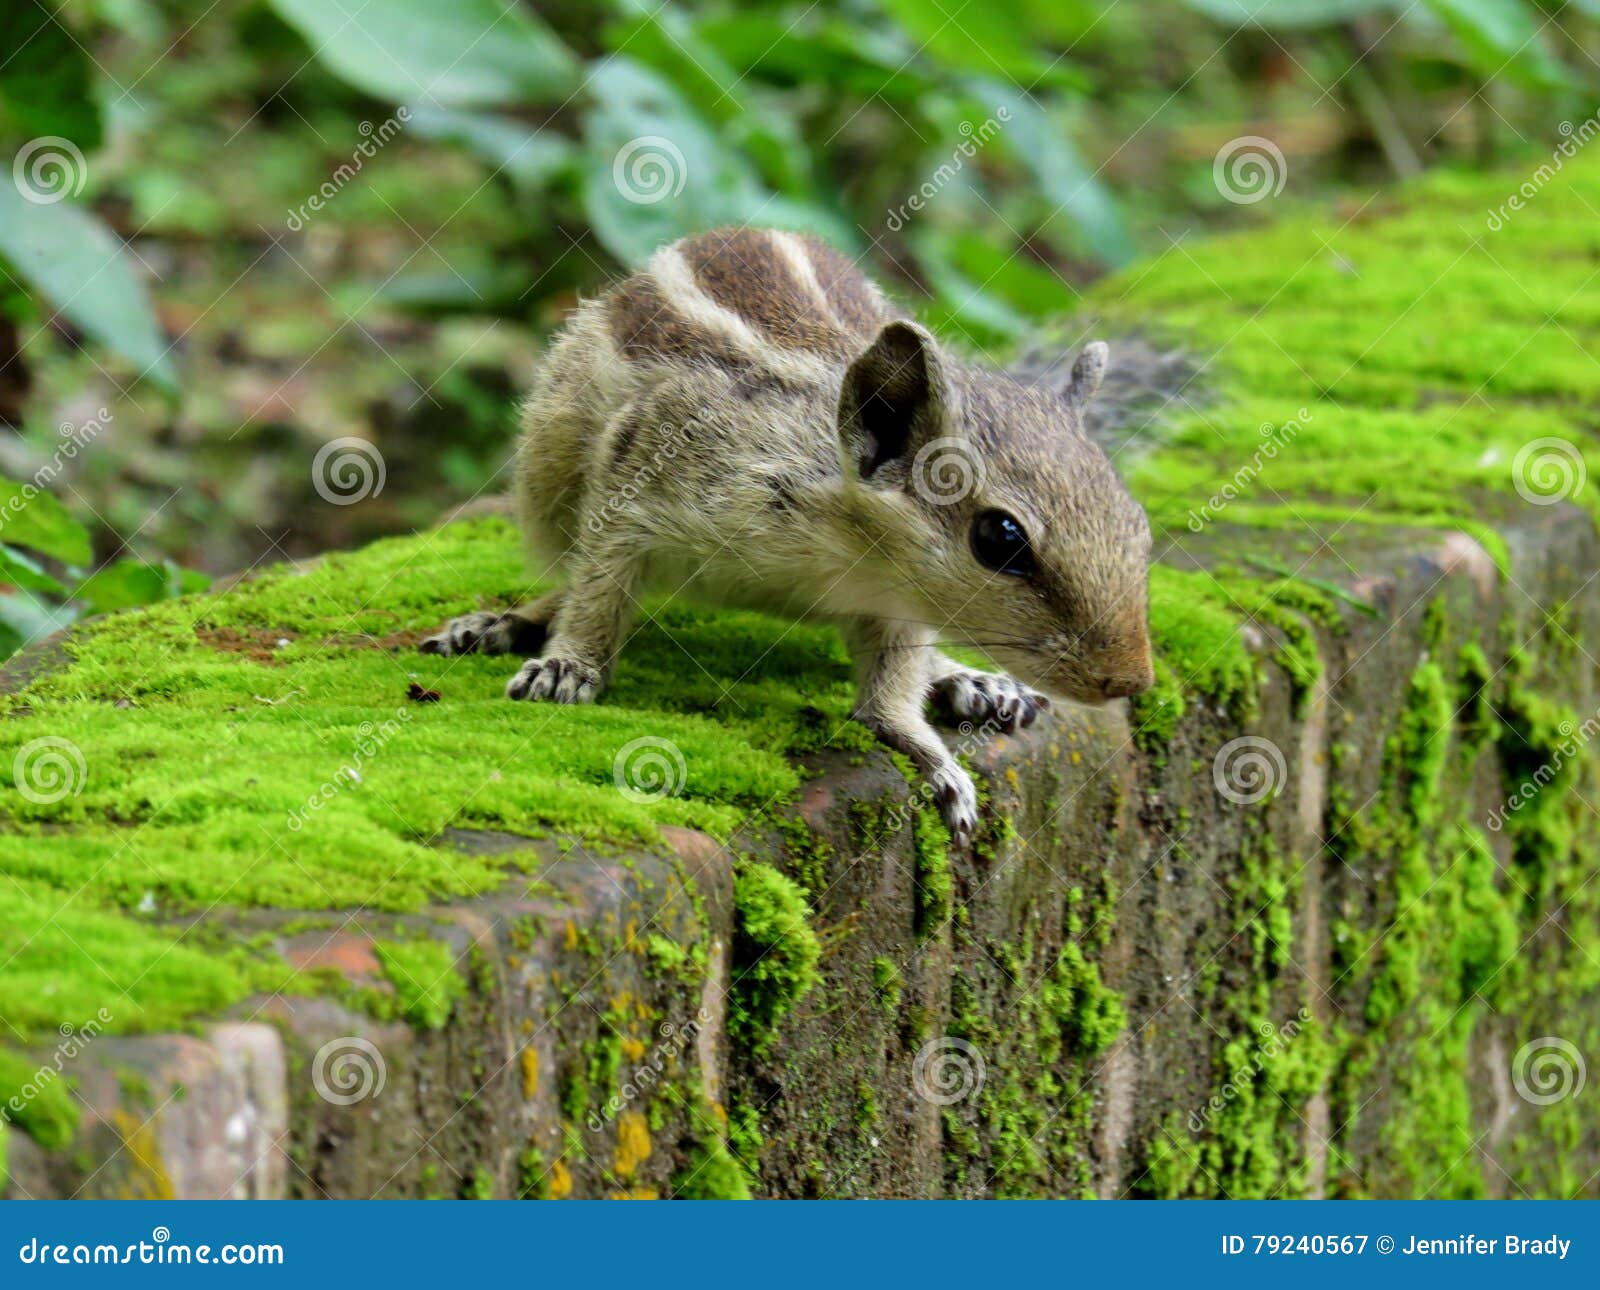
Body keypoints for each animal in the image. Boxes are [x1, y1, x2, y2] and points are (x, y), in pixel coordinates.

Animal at [422, 227, 1152, 845]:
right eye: (1000, 537)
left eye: (1138, 523)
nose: (1131, 680)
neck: (845, 546)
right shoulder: (645, 466)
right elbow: (600, 582)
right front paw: (568, 666)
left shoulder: (897, 608)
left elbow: (888, 700)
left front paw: (934, 754)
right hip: (549, 464)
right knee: (565, 570)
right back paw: (502, 624)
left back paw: (969, 679)